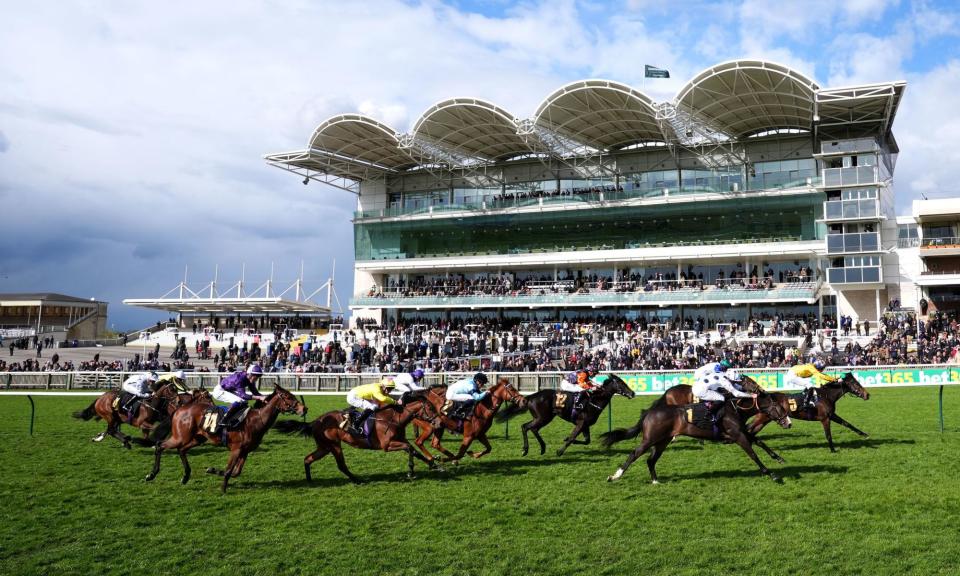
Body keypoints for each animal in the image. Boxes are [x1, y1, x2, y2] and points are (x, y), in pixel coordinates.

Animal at [143, 384, 304, 492]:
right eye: (288, 397)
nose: (304, 408)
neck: (256, 420)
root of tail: (179, 409)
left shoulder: (245, 451)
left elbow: (236, 472)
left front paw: (212, 470)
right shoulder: (236, 449)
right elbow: (229, 471)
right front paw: (223, 489)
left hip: (197, 438)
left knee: (181, 450)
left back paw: (186, 476)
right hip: (180, 437)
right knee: (160, 445)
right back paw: (151, 474)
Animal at [274, 394, 442, 484]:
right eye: (430, 408)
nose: (439, 422)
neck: (394, 418)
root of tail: (315, 421)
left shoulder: (401, 440)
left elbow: (414, 450)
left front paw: (433, 464)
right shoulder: (387, 445)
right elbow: (410, 448)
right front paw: (411, 471)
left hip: (324, 447)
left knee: (308, 459)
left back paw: (309, 480)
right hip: (334, 445)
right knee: (341, 465)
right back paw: (357, 480)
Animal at [496, 374, 636, 460]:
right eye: (621, 383)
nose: (633, 393)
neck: (594, 400)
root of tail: (531, 396)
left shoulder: (585, 425)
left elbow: (586, 440)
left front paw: (566, 439)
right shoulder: (580, 423)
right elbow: (572, 438)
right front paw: (560, 451)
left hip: (543, 418)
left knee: (531, 428)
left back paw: (542, 448)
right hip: (543, 418)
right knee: (526, 427)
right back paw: (526, 450)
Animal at [600, 392, 796, 482]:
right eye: (780, 408)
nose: (788, 423)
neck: (735, 409)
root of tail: (649, 412)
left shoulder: (741, 432)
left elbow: (760, 442)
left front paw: (778, 458)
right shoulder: (738, 435)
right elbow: (753, 454)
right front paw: (771, 474)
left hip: (662, 441)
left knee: (650, 459)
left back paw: (655, 480)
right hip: (650, 439)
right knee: (634, 454)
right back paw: (614, 476)